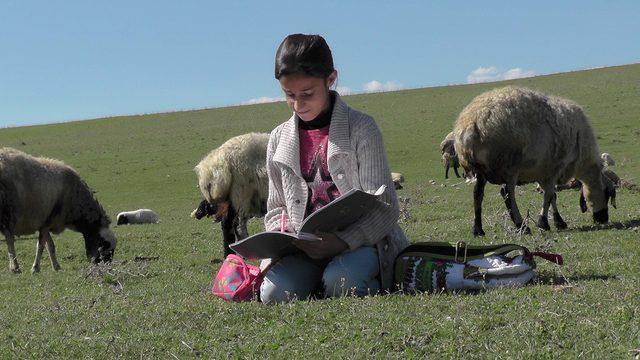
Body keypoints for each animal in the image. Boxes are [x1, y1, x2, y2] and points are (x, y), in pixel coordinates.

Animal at [452, 86, 616, 235]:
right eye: (608, 193)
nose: (603, 219)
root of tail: (471, 124)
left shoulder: (543, 171)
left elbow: (552, 196)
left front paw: (558, 222)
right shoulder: (555, 167)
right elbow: (549, 195)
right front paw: (543, 223)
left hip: (482, 170)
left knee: (477, 194)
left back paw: (478, 229)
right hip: (509, 165)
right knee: (507, 193)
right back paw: (522, 226)